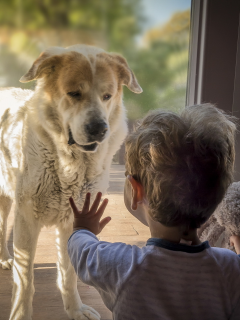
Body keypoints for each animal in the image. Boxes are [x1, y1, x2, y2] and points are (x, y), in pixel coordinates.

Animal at [0, 45, 142, 320]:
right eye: (74, 93)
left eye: (107, 96)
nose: (99, 129)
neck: (67, 162)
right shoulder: (27, 220)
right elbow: (25, 281)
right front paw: (20, 314)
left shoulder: (70, 221)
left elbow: (68, 274)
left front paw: (75, 310)